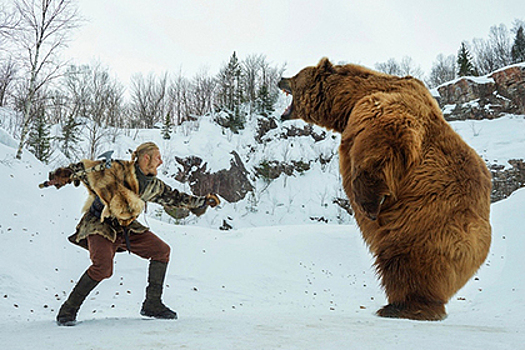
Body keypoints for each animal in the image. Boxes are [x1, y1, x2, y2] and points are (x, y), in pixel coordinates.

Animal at [278, 58, 492, 322]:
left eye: (296, 75)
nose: (280, 78)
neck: (348, 101)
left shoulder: (381, 107)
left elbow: (383, 139)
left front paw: (368, 204)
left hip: (427, 223)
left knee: (408, 264)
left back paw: (405, 307)